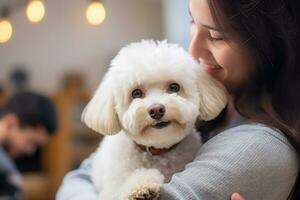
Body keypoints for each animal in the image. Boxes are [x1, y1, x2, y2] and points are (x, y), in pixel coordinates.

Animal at [82, 40, 227, 200]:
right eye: (136, 93)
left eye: (174, 87)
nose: (156, 110)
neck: (157, 152)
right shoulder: (110, 191)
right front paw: (142, 186)